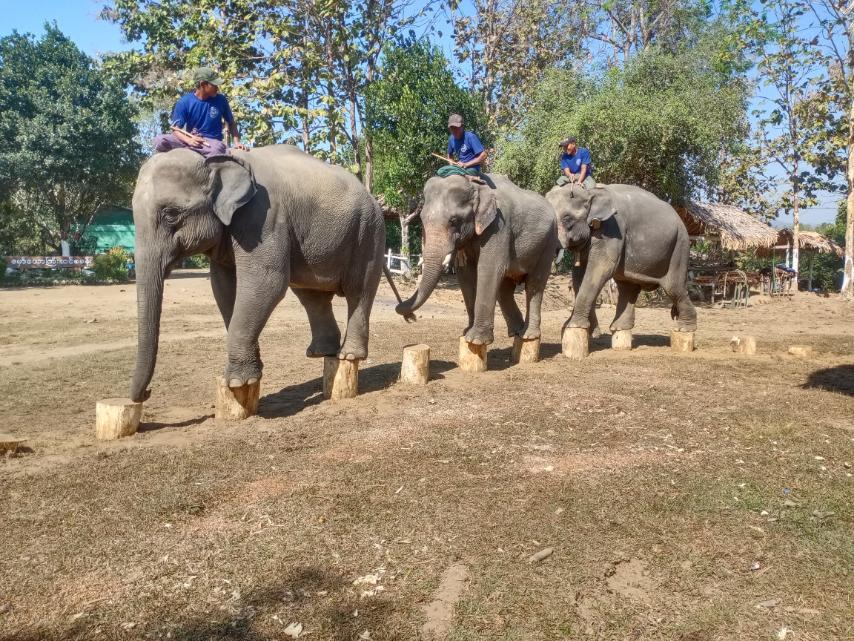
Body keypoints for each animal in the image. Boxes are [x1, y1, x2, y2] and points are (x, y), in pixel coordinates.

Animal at [129, 145, 385, 402]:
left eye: (171, 214)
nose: (146, 394)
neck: (216, 161)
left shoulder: (263, 218)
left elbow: (268, 282)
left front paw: (237, 382)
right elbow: (222, 287)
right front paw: (253, 374)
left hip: (369, 233)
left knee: (358, 290)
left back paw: (348, 356)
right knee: (311, 296)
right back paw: (319, 352)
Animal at [395, 174, 559, 345]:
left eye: (454, 220)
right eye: (422, 219)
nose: (410, 316)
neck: (476, 186)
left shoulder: (499, 226)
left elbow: (488, 270)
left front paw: (476, 340)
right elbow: (466, 274)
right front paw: (466, 332)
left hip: (549, 243)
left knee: (534, 284)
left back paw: (528, 335)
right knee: (505, 289)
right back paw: (516, 331)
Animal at [545, 183, 697, 336]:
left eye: (567, 218)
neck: (590, 192)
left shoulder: (612, 230)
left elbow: (600, 270)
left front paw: (574, 325)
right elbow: (578, 276)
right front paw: (580, 329)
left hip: (679, 245)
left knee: (674, 288)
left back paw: (684, 328)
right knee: (628, 286)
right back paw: (619, 328)